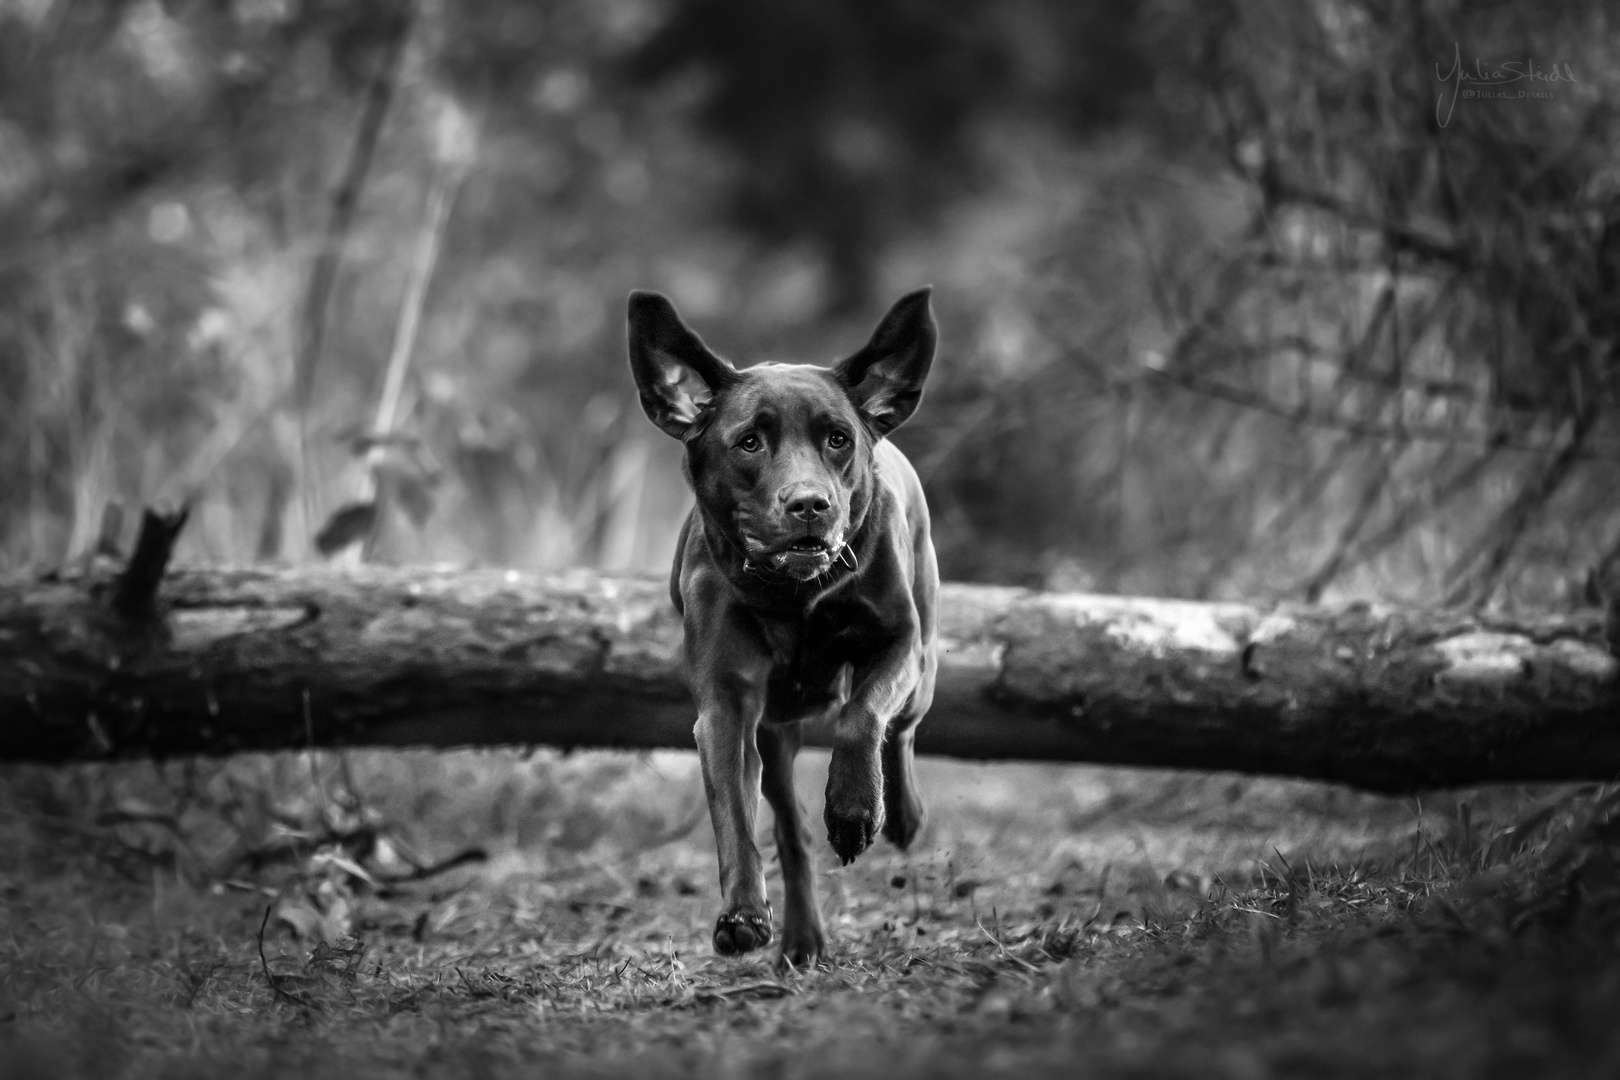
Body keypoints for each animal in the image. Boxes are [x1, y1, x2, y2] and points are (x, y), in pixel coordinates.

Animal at [628, 284, 946, 965]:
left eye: (838, 439)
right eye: (749, 442)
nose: (809, 504)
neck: (797, 597)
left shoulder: (898, 643)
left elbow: (862, 717)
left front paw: (854, 811)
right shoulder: (726, 705)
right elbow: (734, 816)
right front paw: (743, 915)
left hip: (925, 662)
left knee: (903, 729)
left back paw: (902, 815)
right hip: (774, 734)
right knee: (789, 829)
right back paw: (803, 938)